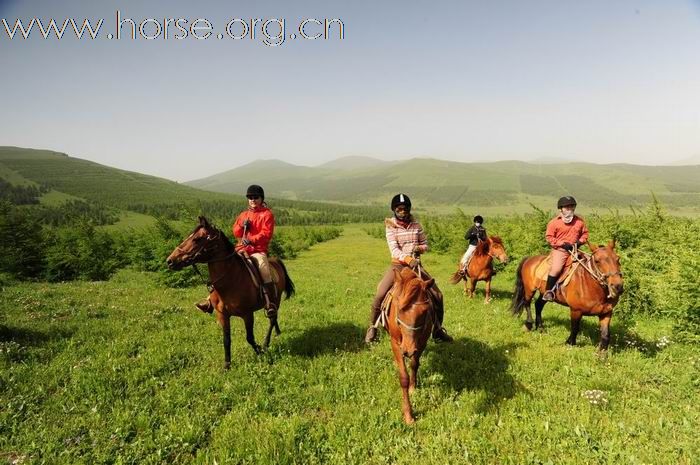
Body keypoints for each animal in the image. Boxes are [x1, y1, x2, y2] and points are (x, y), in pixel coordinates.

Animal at [165, 216, 294, 368]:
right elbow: (226, 340)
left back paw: (266, 343)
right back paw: (277, 332)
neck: (230, 280)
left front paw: (260, 352)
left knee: (272, 319)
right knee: (274, 318)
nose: (170, 261)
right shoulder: (222, 315)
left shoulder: (247, 314)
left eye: (197, 239)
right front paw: (227, 365)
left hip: (276, 299)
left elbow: (249, 337)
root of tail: (275, 261)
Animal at [386, 264, 434, 424]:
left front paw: (413, 388)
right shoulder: (396, 344)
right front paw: (408, 415)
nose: (407, 350)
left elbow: (414, 365)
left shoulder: (421, 342)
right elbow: (403, 378)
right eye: (400, 309)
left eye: (425, 311)